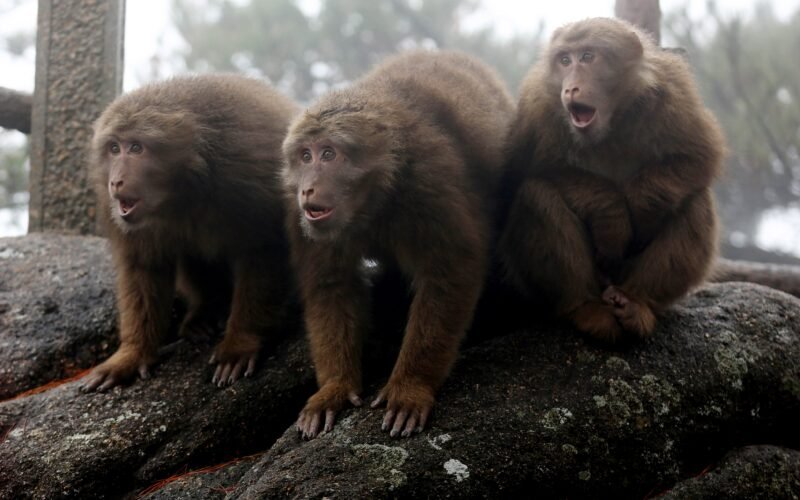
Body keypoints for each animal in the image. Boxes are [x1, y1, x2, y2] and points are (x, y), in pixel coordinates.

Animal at [80, 74, 299, 392]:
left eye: (136, 148)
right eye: (114, 148)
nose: (116, 181)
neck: (182, 189)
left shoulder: (247, 169)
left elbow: (265, 249)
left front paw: (240, 343)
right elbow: (144, 267)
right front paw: (132, 354)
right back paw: (208, 309)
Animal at [283, 50, 515, 439]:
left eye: (328, 154)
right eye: (305, 156)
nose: (308, 188)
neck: (373, 200)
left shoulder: (429, 183)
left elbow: (450, 272)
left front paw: (411, 385)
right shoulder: (299, 215)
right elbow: (332, 286)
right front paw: (334, 388)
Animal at [498, 17, 726, 342]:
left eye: (587, 57)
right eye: (564, 60)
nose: (571, 88)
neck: (610, 125)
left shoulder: (673, 93)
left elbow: (697, 156)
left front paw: (643, 207)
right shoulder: (537, 107)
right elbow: (526, 172)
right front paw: (612, 217)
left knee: (696, 200)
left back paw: (636, 302)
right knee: (535, 194)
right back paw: (587, 308)